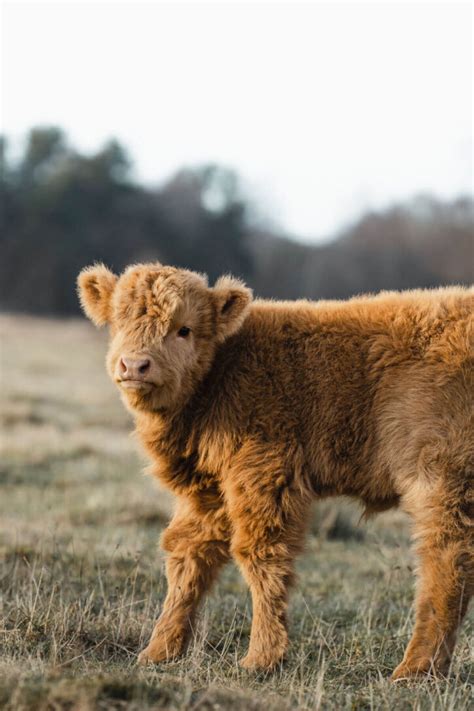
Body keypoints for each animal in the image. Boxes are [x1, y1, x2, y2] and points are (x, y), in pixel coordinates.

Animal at [76, 262, 472, 680]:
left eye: (184, 329)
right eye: (118, 322)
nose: (134, 364)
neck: (223, 371)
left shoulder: (263, 473)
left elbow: (261, 555)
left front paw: (262, 657)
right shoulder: (209, 491)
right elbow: (187, 557)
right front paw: (159, 651)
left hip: (440, 478)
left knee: (445, 561)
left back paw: (415, 669)